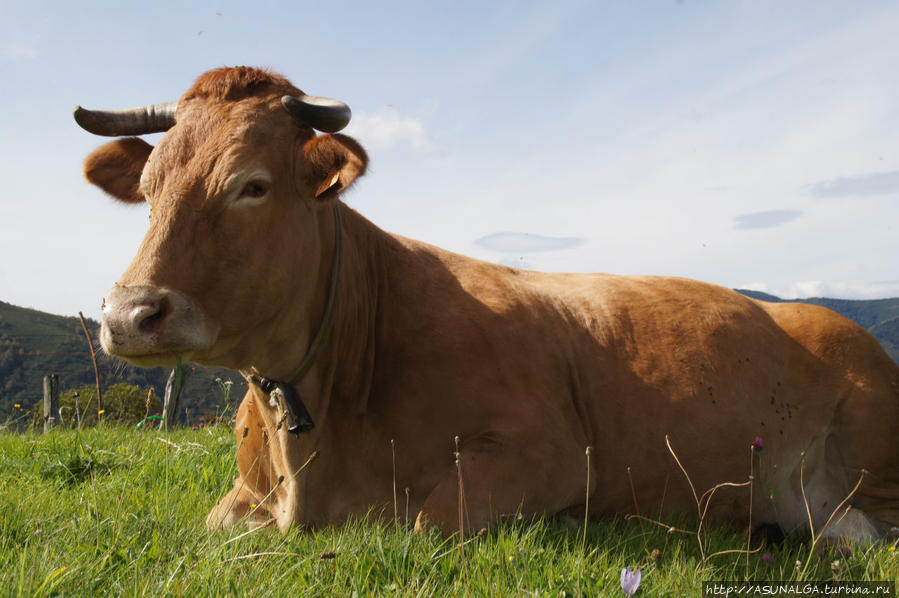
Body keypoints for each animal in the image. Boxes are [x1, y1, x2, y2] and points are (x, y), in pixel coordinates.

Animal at [79, 68, 899, 540]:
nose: (129, 314)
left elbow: (422, 524)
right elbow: (212, 526)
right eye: (148, 188)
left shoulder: (550, 454)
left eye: (252, 185)